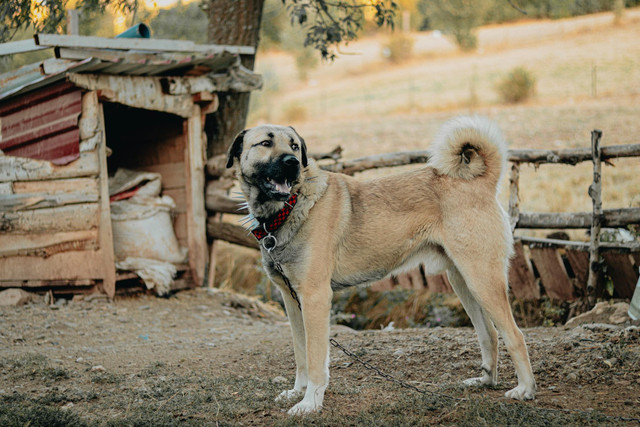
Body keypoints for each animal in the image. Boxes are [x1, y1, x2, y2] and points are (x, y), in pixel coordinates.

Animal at [228, 116, 536, 414]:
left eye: (294, 146)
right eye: (265, 143)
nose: (292, 163)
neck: (292, 205)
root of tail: (480, 180)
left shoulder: (315, 298)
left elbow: (315, 358)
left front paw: (310, 402)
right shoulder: (292, 301)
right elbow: (301, 354)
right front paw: (298, 391)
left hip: (482, 279)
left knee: (515, 335)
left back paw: (525, 389)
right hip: (463, 281)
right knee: (490, 334)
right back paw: (485, 381)